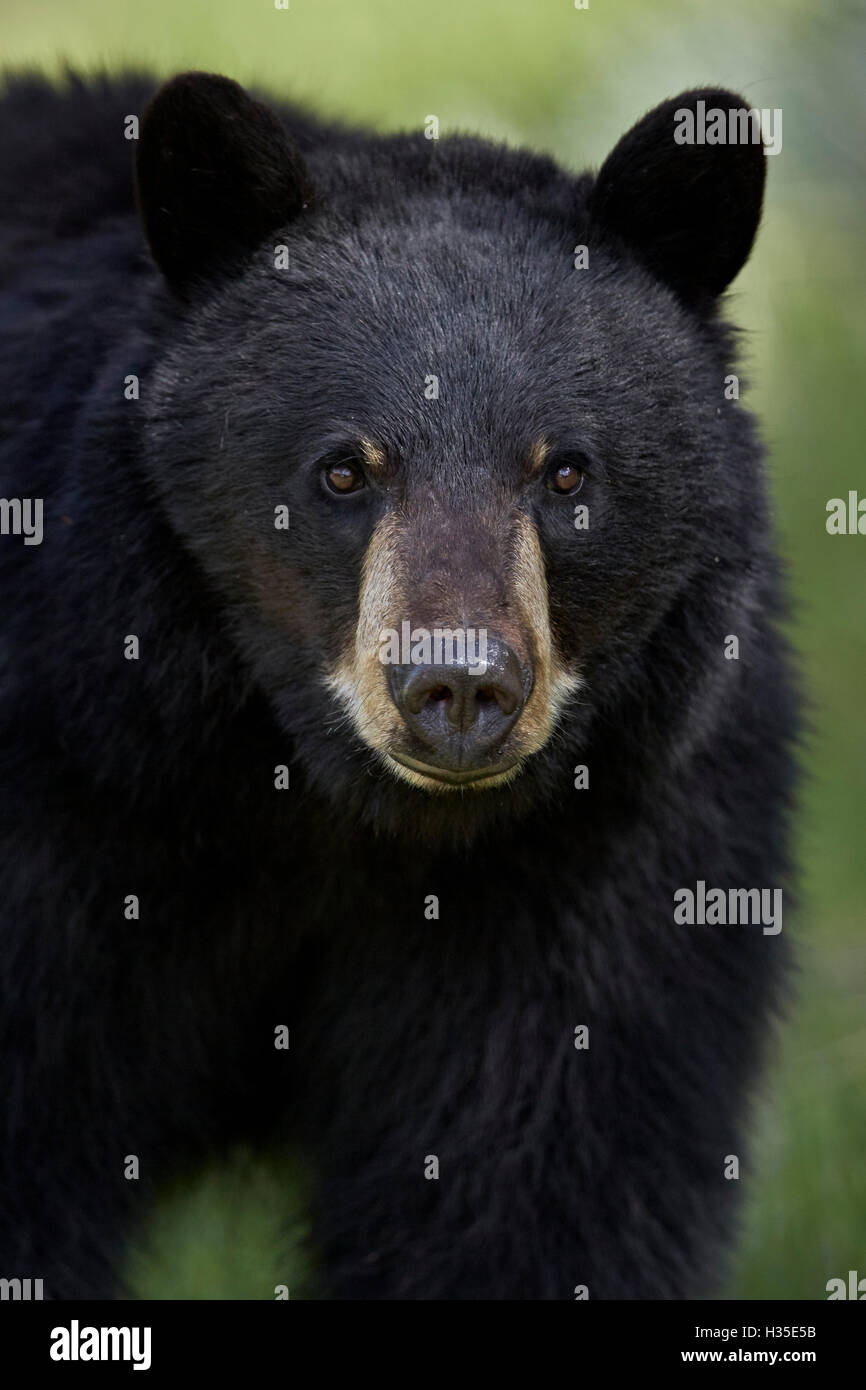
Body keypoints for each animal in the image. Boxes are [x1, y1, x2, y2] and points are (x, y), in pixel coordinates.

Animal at [1, 70, 800, 1295]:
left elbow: (536, 1178)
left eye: (565, 473)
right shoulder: (66, 776)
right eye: (343, 471)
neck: (326, 808)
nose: (458, 688)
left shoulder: (613, 844)